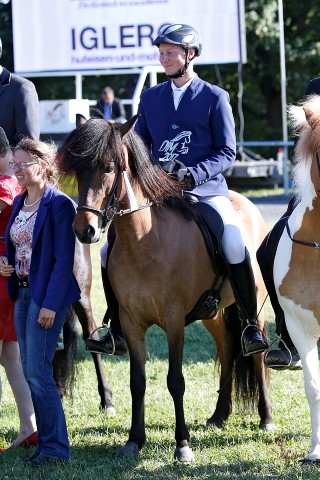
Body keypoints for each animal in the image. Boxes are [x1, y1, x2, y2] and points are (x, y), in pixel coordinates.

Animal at [58, 115, 276, 462]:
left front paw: (182, 444)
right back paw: (219, 415)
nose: (85, 230)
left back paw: (266, 417)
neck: (144, 241)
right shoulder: (131, 322)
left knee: (256, 352)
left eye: (108, 167)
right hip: (213, 314)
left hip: (252, 305)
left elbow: (176, 380)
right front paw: (134, 441)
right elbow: (137, 381)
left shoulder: (174, 321)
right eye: (79, 170)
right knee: (227, 348)